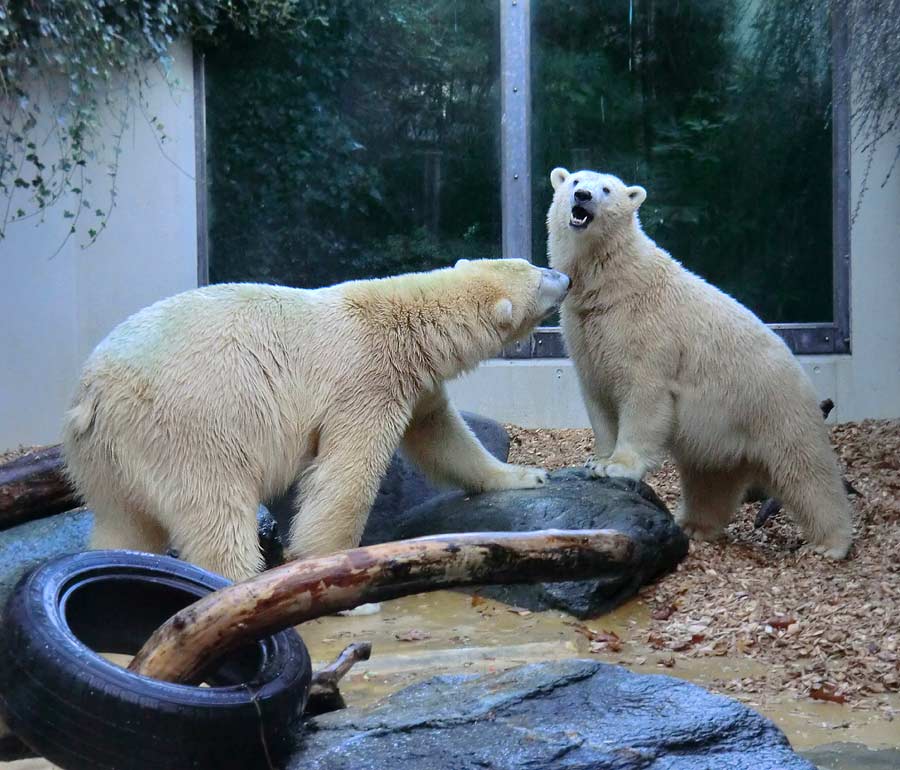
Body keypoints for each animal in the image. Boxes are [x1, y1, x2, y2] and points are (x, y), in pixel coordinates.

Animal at [61, 258, 568, 576]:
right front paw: (330, 564)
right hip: (185, 426)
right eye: (540, 276)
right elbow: (345, 475)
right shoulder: (366, 379)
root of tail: (93, 394)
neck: (404, 319)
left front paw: (525, 475)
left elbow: (442, 436)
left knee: (123, 524)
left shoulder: (416, 382)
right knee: (215, 512)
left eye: (533, 264)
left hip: (103, 457)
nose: (564, 275)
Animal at [548, 166, 852, 560]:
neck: (613, 281)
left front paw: (618, 466)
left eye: (606, 189)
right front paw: (597, 460)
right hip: (723, 429)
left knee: (806, 471)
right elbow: (599, 398)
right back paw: (695, 524)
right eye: (574, 181)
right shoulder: (585, 331)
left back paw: (830, 544)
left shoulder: (645, 329)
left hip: (772, 406)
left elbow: (644, 395)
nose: (582, 197)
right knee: (709, 476)